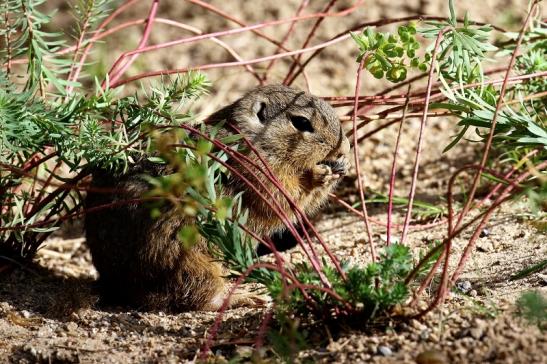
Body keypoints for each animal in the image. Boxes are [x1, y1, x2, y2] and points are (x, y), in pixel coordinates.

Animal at [85, 84, 352, 310]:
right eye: (302, 122)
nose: (345, 148)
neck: (254, 139)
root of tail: (115, 286)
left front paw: (342, 166)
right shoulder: (258, 174)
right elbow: (288, 194)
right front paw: (320, 174)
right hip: (188, 258)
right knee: (203, 296)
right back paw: (249, 295)